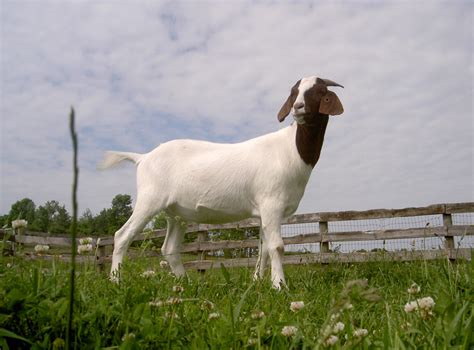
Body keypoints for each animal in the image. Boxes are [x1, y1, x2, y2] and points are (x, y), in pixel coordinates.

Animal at [100, 76, 344, 290]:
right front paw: (279, 286)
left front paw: (257, 283)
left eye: (319, 91)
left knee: (169, 248)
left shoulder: (264, 212)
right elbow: (277, 247)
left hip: (176, 213)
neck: (290, 149)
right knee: (122, 237)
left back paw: (186, 285)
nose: (298, 106)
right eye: (294, 92)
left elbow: (263, 249)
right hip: (150, 199)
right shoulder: (271, 204)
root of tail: (143, 157)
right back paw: (116, 282)